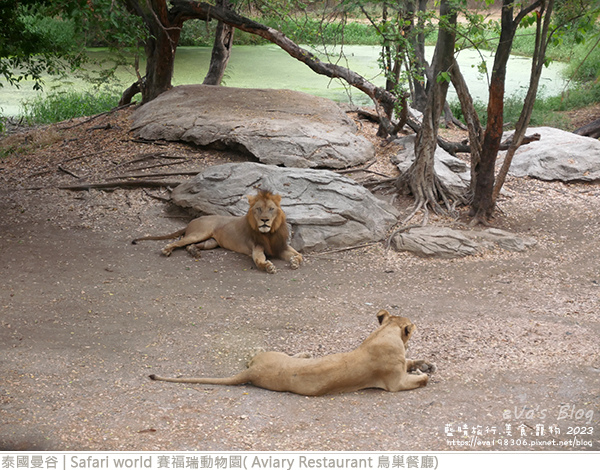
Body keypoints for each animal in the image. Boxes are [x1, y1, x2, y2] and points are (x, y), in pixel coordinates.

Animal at [131, 189, 300, 274]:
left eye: (271, 209)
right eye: (258, 209)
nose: (264, 220)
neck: (269, 233)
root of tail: (193, 220)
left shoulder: (281, 246)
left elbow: (300, 255)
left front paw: (294, 262)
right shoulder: (257, 247)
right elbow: (258, 260)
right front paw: (268, 267)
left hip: (211, 242)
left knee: (189, 246)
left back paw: (194, 252)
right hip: (200, 233)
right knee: (179, 242)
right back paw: (166, 250)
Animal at [146, 310, 436, 394]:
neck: (385, 332)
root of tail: (253, 371)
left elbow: (411, 361)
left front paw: (427, 364)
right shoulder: (394, 384)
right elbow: (418, 379)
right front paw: (426, 375)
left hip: (267, 357)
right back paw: (306, 355)